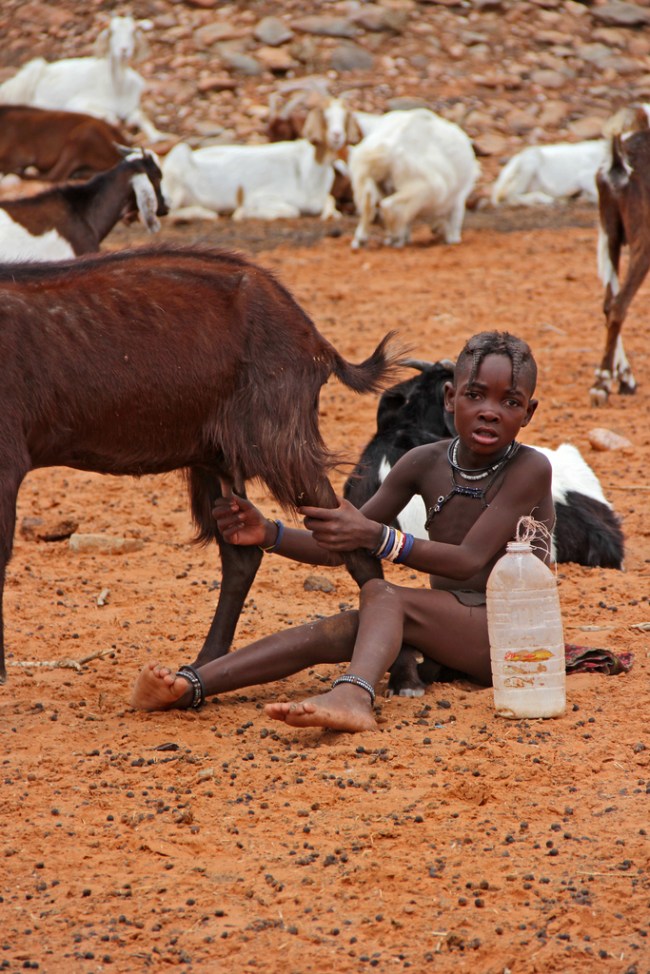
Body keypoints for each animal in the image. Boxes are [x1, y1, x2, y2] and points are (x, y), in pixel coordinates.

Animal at [0, 15, 163, 143]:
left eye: (133, 31)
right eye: (112, 32)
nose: (124, 50)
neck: (116, 87)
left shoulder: (132, 105)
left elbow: (141, 117)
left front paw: (158, 136)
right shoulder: (77, 104)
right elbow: (111, 117)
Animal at [0, 245, 397, 682]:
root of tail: (313, 338)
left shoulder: (6, 460)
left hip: (279, 444)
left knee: (352, 542)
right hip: (214, 459)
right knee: (243, 557)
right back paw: (207, 664)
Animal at [161, 139, 341, 221]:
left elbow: (330, 201)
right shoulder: (260, 196)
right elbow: (292, 211)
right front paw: (242, 214)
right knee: (169, 215)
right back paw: (206, 214)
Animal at [348, 109, 479, 249]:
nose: (435, 231)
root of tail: (389, 149)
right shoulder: (458, 196)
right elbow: (455, 215)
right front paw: (453, 239)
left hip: (363, 174)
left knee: (368, 202)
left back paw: (360, 240)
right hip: (426, 185)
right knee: (388, 205)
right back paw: (395, 239)